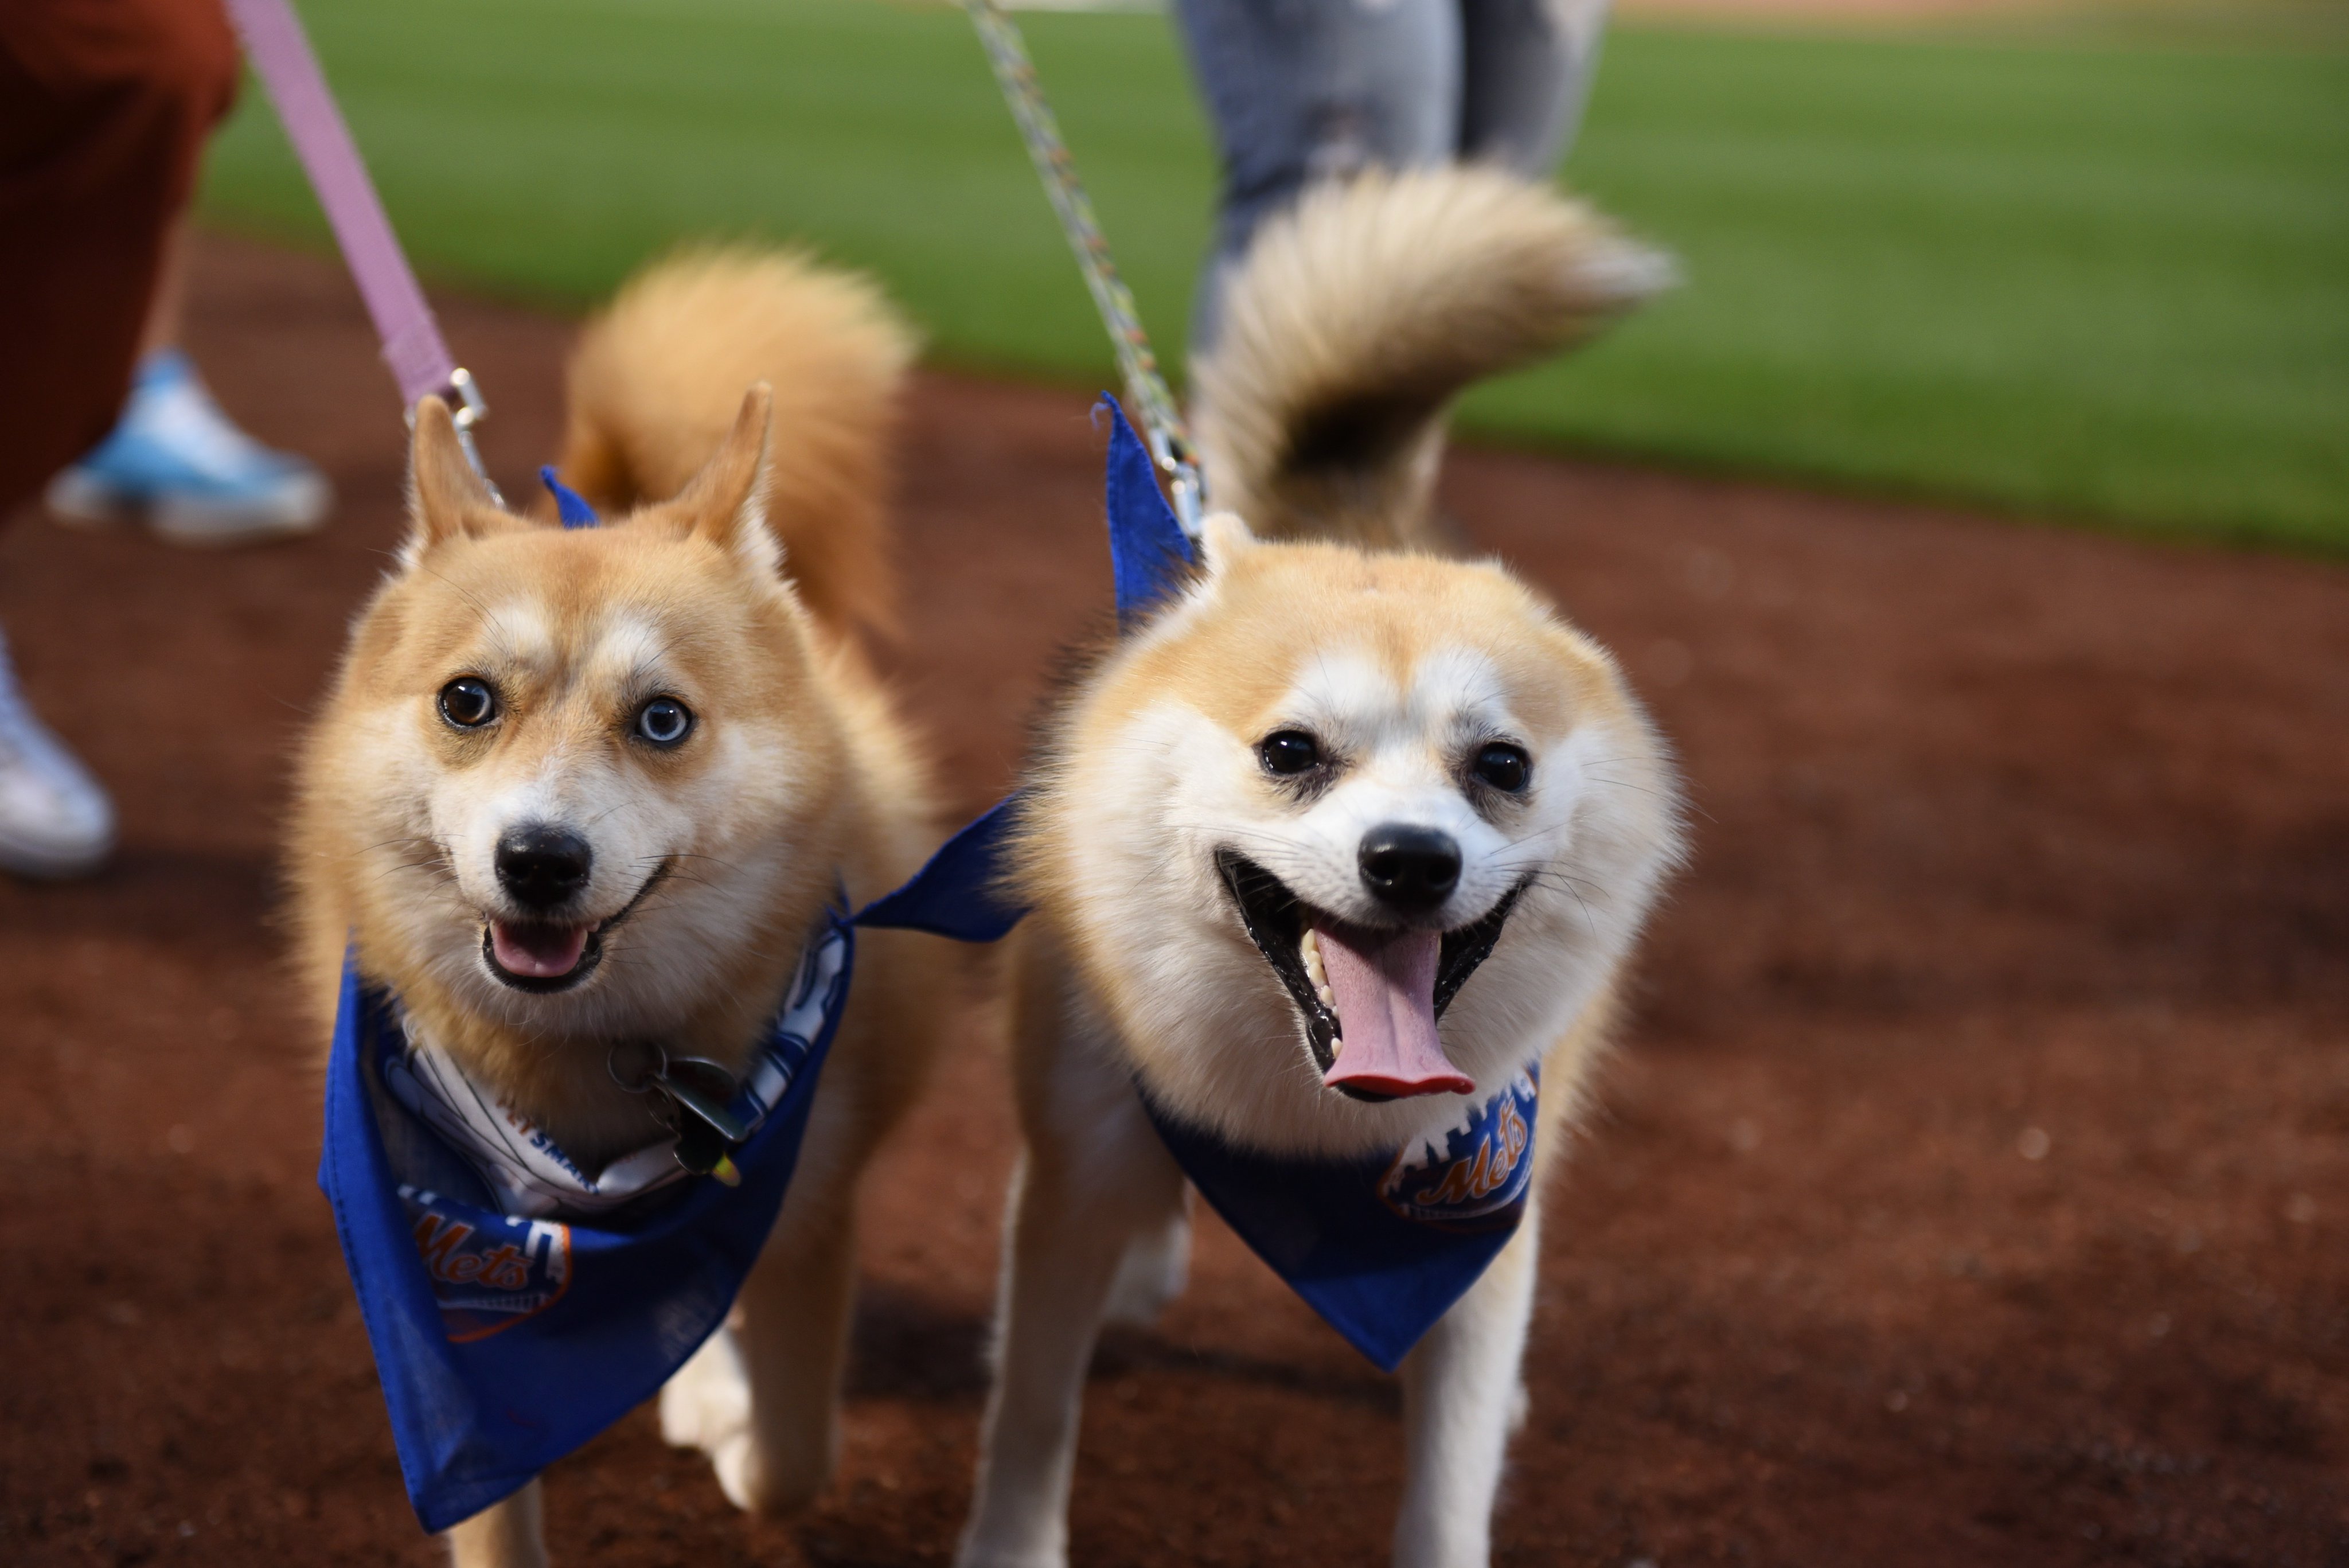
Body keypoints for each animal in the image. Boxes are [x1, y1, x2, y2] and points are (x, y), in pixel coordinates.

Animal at [294, 251, 944, 1561]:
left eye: (661, 719)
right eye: (468, 701)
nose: (539, 860)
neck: (583, 1066)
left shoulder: (810, 1215)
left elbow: (791, 1457)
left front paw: (736, 1434)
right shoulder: (461, 1346)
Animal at [953, 171, 1691, 1568]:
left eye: (1501, 764)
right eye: (1289, 749)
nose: (1410, 861)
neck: (1300, 1118)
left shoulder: (1478, 1232)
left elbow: (1449, 1478)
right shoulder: (1070, 1167)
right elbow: (1031, 1411)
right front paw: (1010, 1541)